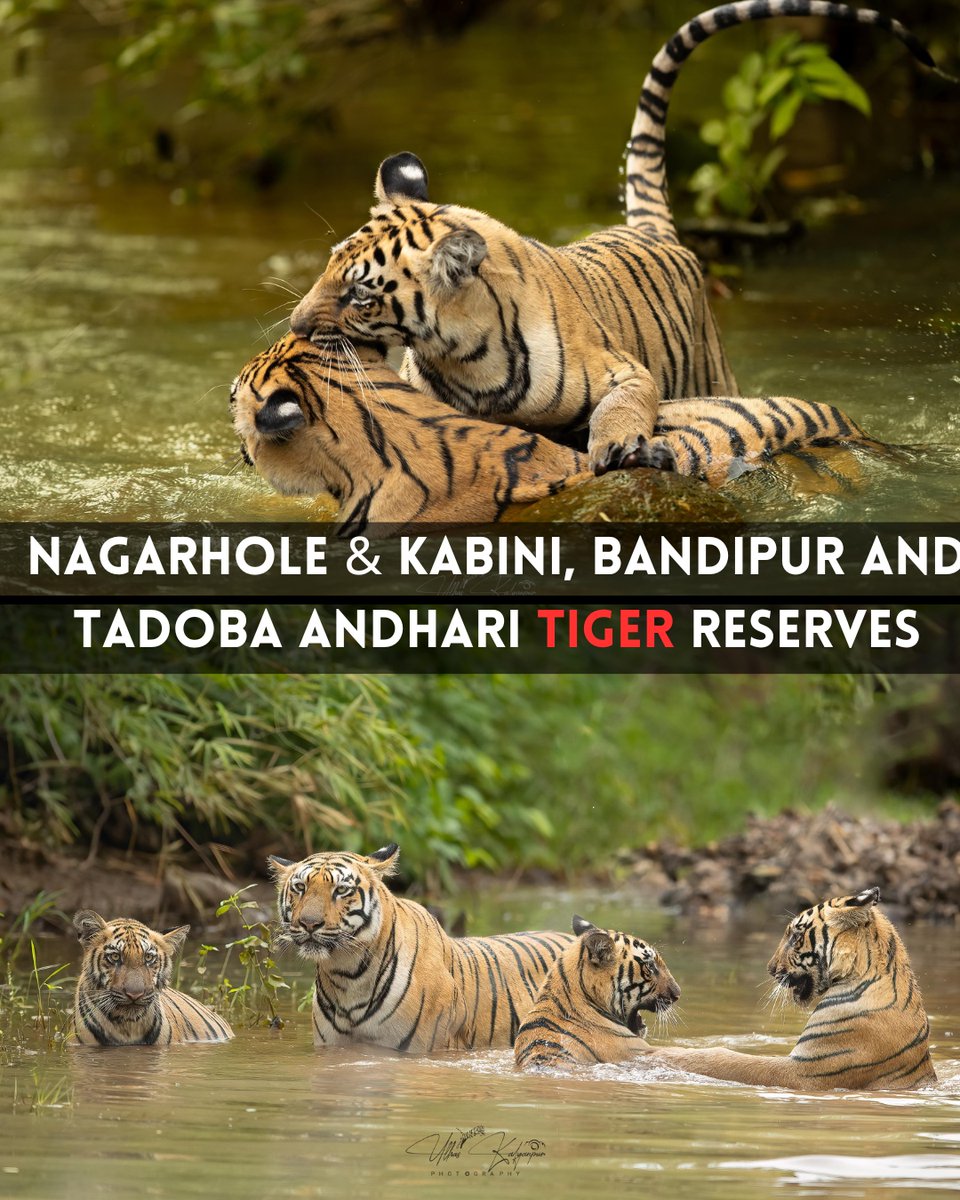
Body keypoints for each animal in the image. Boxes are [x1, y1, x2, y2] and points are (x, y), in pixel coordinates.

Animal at [287, 2, 939, 474]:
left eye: (360, 295)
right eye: (325, 268)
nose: (293, 325)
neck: (463, 355)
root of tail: (646, 227)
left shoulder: (626, 372)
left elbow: (621, 409)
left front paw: (616, 447)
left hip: (714, 372)